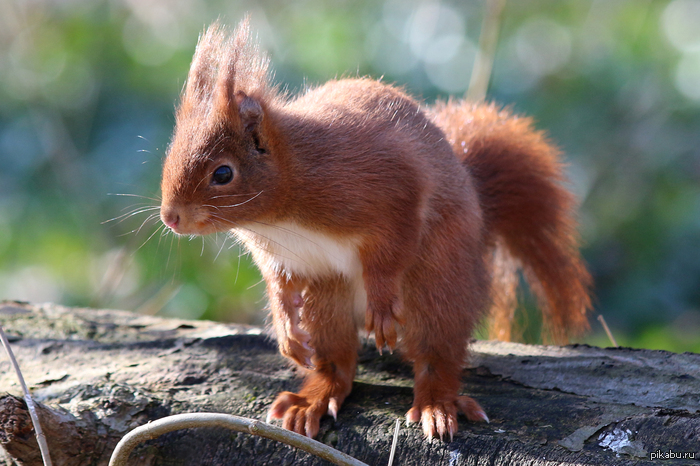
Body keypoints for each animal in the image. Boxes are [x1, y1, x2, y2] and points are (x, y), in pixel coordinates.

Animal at [159, 19, 592, 440]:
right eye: (171, 153)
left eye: (223, 174)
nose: (170, 217)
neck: (279, 211)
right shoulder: (279, 253)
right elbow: (278, 283)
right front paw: (285, 327)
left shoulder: (389, 188)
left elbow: (392, 248)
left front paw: (382, 304)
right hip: (326, 295)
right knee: (337, 362)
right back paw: (314, 398)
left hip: (438, 280)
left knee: (437, 353)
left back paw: (436, 403)